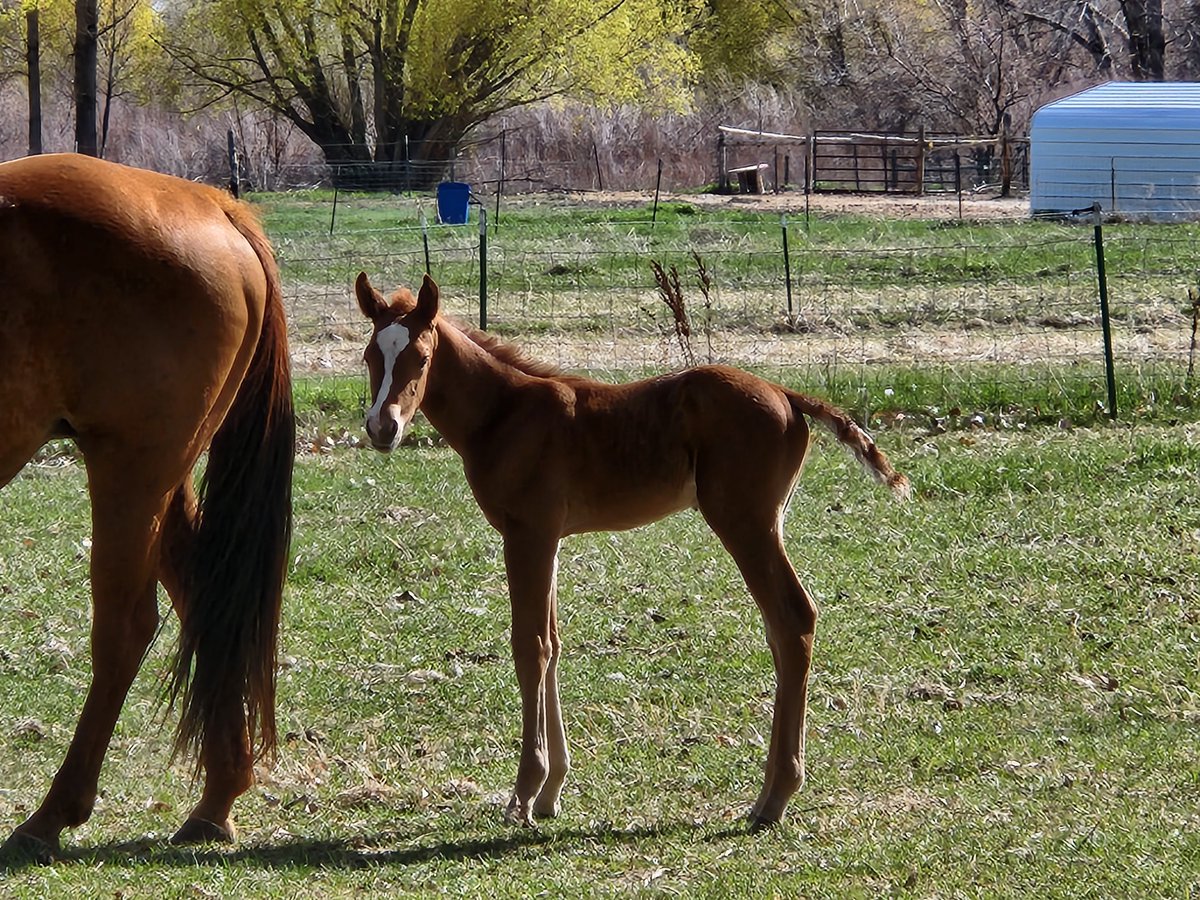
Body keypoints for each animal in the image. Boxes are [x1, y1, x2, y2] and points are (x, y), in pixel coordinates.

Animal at [0, 154, 295, 861]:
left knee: (126, 628)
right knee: (205, 598)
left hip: (132, 473)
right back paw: (216, 801)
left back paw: (52, 815)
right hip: (164, 477)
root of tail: (214, 205)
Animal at [354, 271, 910, 828]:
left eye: (421, 357)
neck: (505, 414)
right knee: (782, 628)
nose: (383, 427)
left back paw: (775, 798)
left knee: (793, 618)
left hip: (745, 522)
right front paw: (553, 789)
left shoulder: (527, 533)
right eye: (369, 355)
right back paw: (769, 793)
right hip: (763, 522)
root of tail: (787, 395)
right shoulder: (549, 538)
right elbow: (553, 644)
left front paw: (524, 792)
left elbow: (530, 647)